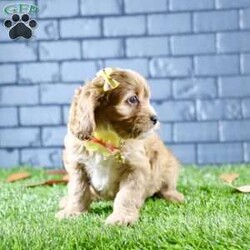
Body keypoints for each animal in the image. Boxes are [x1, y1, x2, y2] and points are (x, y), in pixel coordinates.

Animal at [57, 67, 186, 226]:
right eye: (133, 99)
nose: (155, 118)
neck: (107, 138)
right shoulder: (77, 165)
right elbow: (78, 190)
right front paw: (72, 211)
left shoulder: (136, 168)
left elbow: (126, 195)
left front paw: (122, 217)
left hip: (169, 166)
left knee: (166, 186)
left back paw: (175, 196)